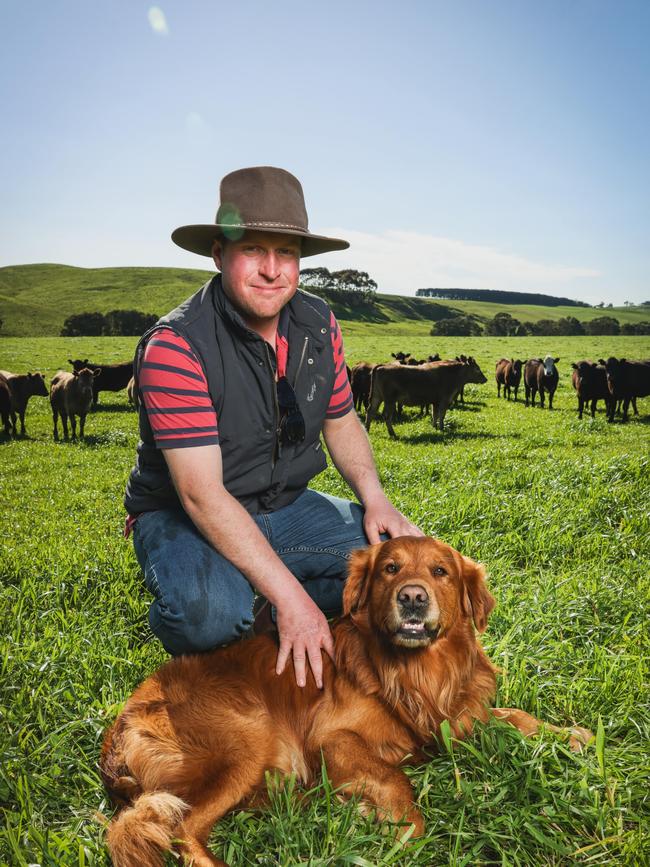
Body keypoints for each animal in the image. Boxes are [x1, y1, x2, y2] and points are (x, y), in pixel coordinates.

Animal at [98, 540, 588, 864]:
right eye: (390, 568)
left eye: (440, 571)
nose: (413, 597)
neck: (416, 673)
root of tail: (116, 733)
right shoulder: (330, 738)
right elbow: (394, 777)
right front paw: (401, 828)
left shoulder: (460, 718)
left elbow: (516, 716)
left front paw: (570, 734)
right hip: (247, 736)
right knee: (183, 830)